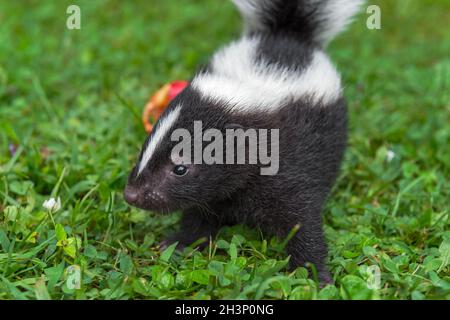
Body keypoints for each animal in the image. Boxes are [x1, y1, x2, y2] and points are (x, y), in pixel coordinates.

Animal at [125, 0, 364, 284]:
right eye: (144, 150)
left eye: (180, 168)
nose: (132, 194)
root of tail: (287, 32)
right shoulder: (214, 191)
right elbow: (199, 214)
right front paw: (181, 243)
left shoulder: (290, 167)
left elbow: (301, 222)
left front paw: (315, 276)